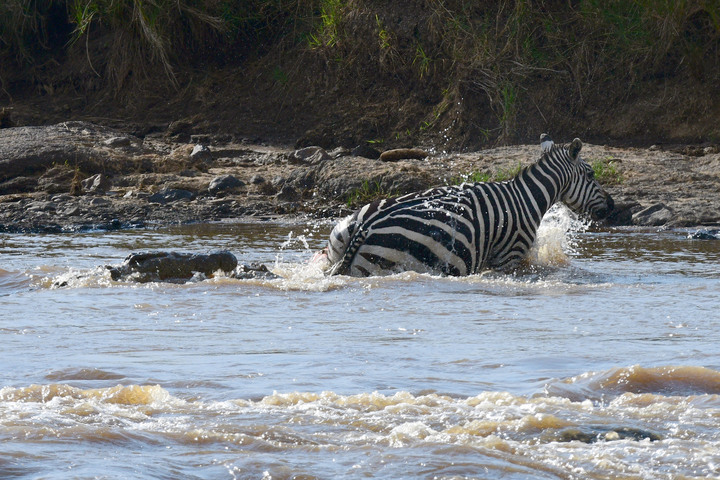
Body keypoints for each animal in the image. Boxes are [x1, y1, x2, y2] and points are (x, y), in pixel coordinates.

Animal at [326, 137, 612, 276]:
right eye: (591, 174)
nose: (611, 207)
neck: (525, 198)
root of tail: (365, 226)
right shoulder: (509, 258)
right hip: (383, 265)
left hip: (340, 251)